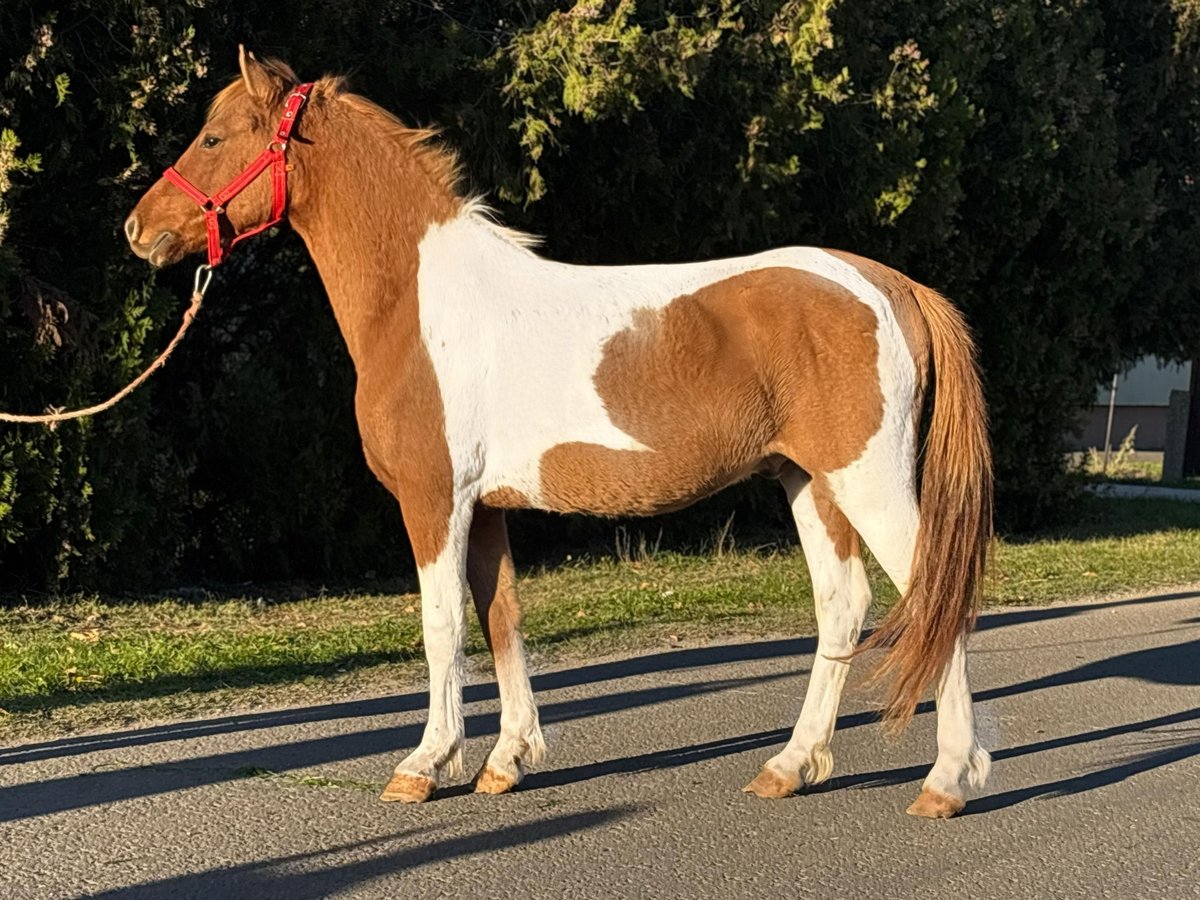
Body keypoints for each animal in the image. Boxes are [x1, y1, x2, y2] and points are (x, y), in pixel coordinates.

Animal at [129, 52, 993, 820]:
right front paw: (506, 761)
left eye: (214, 137)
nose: (140, 229)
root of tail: (891, 284)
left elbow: (442, 627)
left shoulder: (435, 499)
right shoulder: (485, 508)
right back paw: (789, 767)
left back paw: (947, 781)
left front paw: (424, 765)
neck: (422, 304)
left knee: (935, 598)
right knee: (843, 606)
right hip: (810, 482)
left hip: (868, 482)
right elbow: (501, 621)